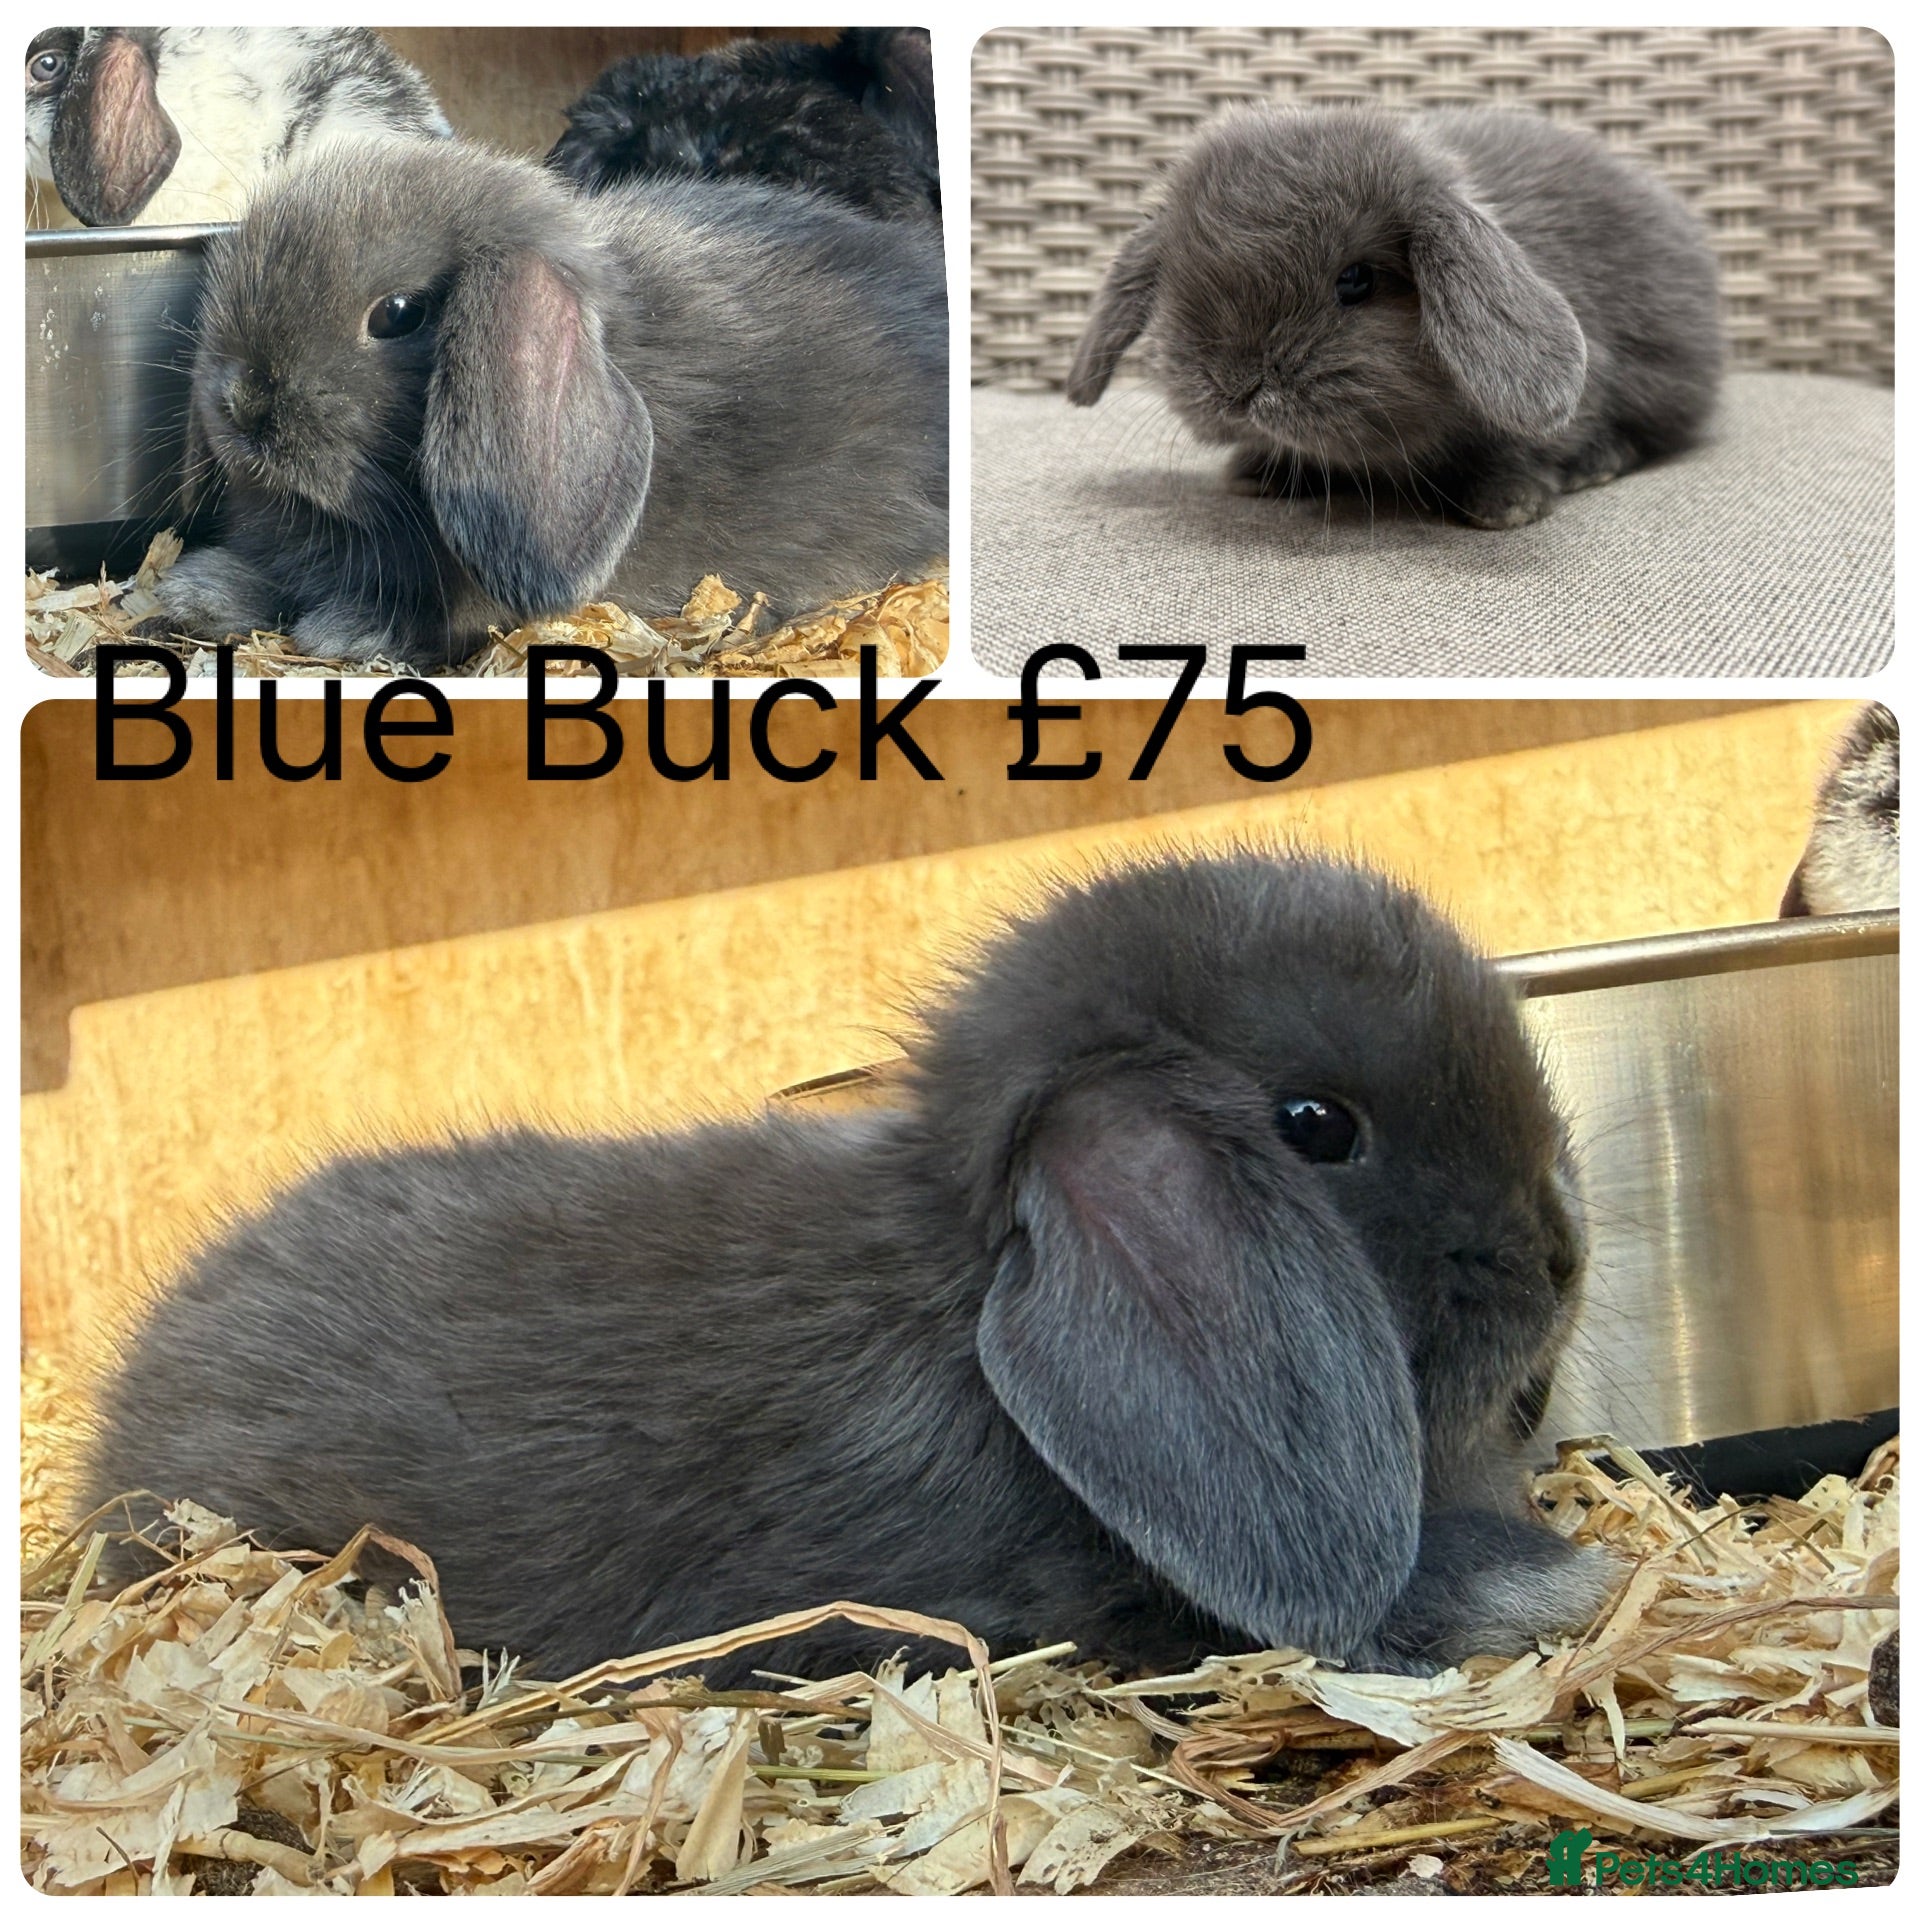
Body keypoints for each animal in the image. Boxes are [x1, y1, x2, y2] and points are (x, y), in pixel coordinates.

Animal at [1066, 106, 1723, 530]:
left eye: (1357, 280)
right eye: (1176, 279)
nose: (1235, 387)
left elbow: (1522, 449)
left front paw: (1506, 505)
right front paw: (1257, 474)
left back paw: (1594, 466)